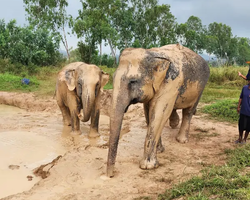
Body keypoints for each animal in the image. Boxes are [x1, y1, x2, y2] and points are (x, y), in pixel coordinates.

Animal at [106, 43, 210, 177]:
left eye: (133, 81)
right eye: (113, 77)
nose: (110, 175)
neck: (152, 54)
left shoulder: (172, 81)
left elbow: (159, 113)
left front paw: (147, 166)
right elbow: (149, 113)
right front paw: (160, 151)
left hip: (201, 88)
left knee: (189, 111)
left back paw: (181, 140)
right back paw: (174, 123)